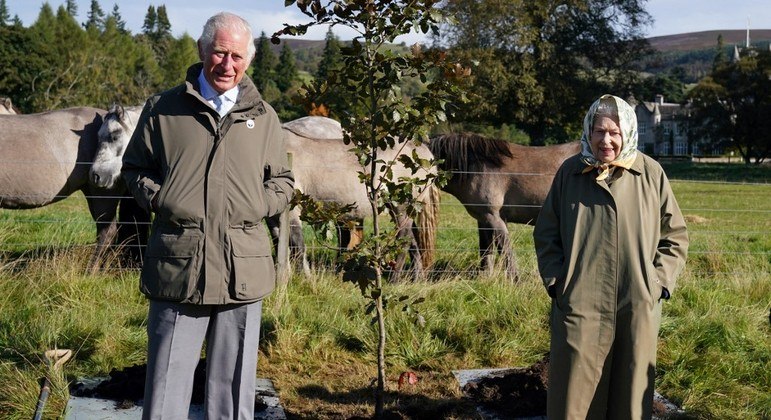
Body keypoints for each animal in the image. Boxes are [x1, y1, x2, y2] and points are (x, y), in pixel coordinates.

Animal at [428, 133, 580, 280]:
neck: (476, 167)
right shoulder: (483, 220)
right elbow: (486, 251)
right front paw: (485, 278)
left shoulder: (493, 217)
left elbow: (505, 250)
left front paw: (515, 281)